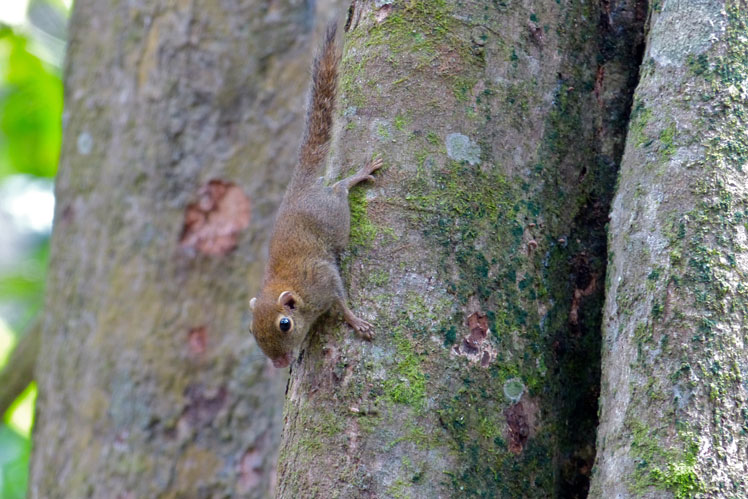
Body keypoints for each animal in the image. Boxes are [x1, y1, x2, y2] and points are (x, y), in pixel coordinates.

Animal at [250, 21, 382, 370]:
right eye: (252, 330)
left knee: (337, 190)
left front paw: (355, 321)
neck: (289, 286)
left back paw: (354, 178)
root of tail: (298, 187)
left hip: (332, 217)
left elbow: (340, 299)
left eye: (284, 324)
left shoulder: (322, 280)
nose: (279, 363)